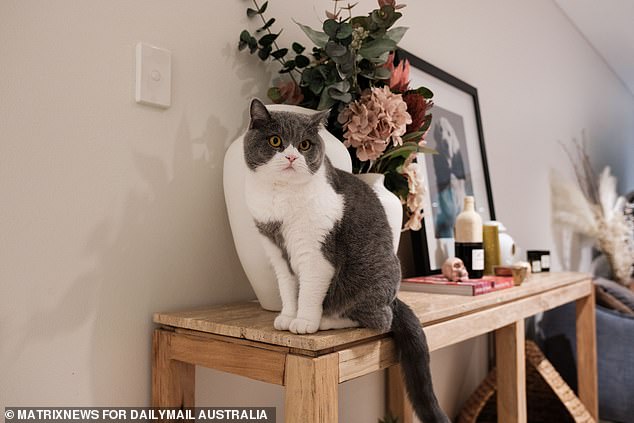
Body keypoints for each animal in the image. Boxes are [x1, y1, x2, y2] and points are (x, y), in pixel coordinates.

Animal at [243, 100, 450, 423]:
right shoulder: (276, 251)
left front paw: (304, 322)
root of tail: (394, 299)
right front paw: (287, 316)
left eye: (304, 145)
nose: (291, 156)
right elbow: (288, 289)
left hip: (367, 279)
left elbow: (309, 292)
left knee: (377, 319)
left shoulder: (316, 253)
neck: (281, 200)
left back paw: (326, 321)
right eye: (275, 141)